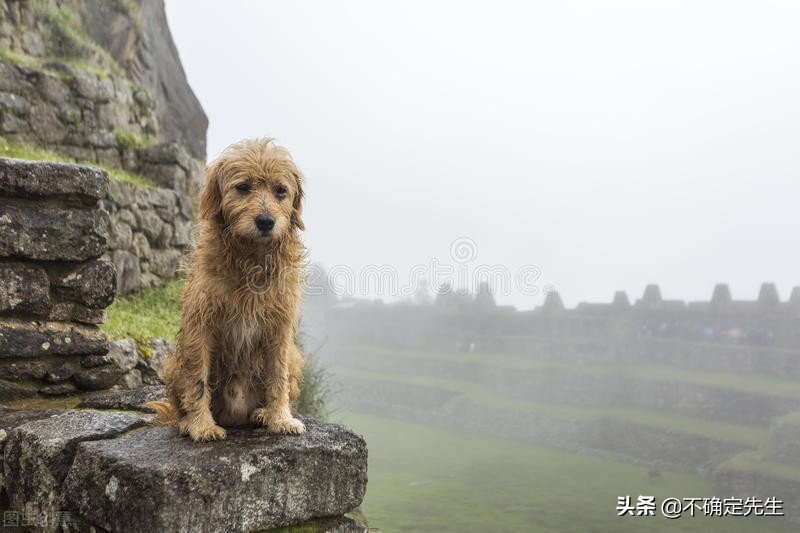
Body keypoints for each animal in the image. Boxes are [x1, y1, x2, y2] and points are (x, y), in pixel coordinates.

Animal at [145, 137, 308, 440]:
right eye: (243, 187)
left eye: (280, 190)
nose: (266, 221)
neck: (251, 258)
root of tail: (236, 415)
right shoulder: (200, 322)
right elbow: (197, 380)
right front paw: (201, 425)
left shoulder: (279, 329)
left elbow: (277, 378)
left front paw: (281, 418)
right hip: (173, 362)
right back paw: (186, 422)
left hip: (295, 356)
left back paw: (262, 412)